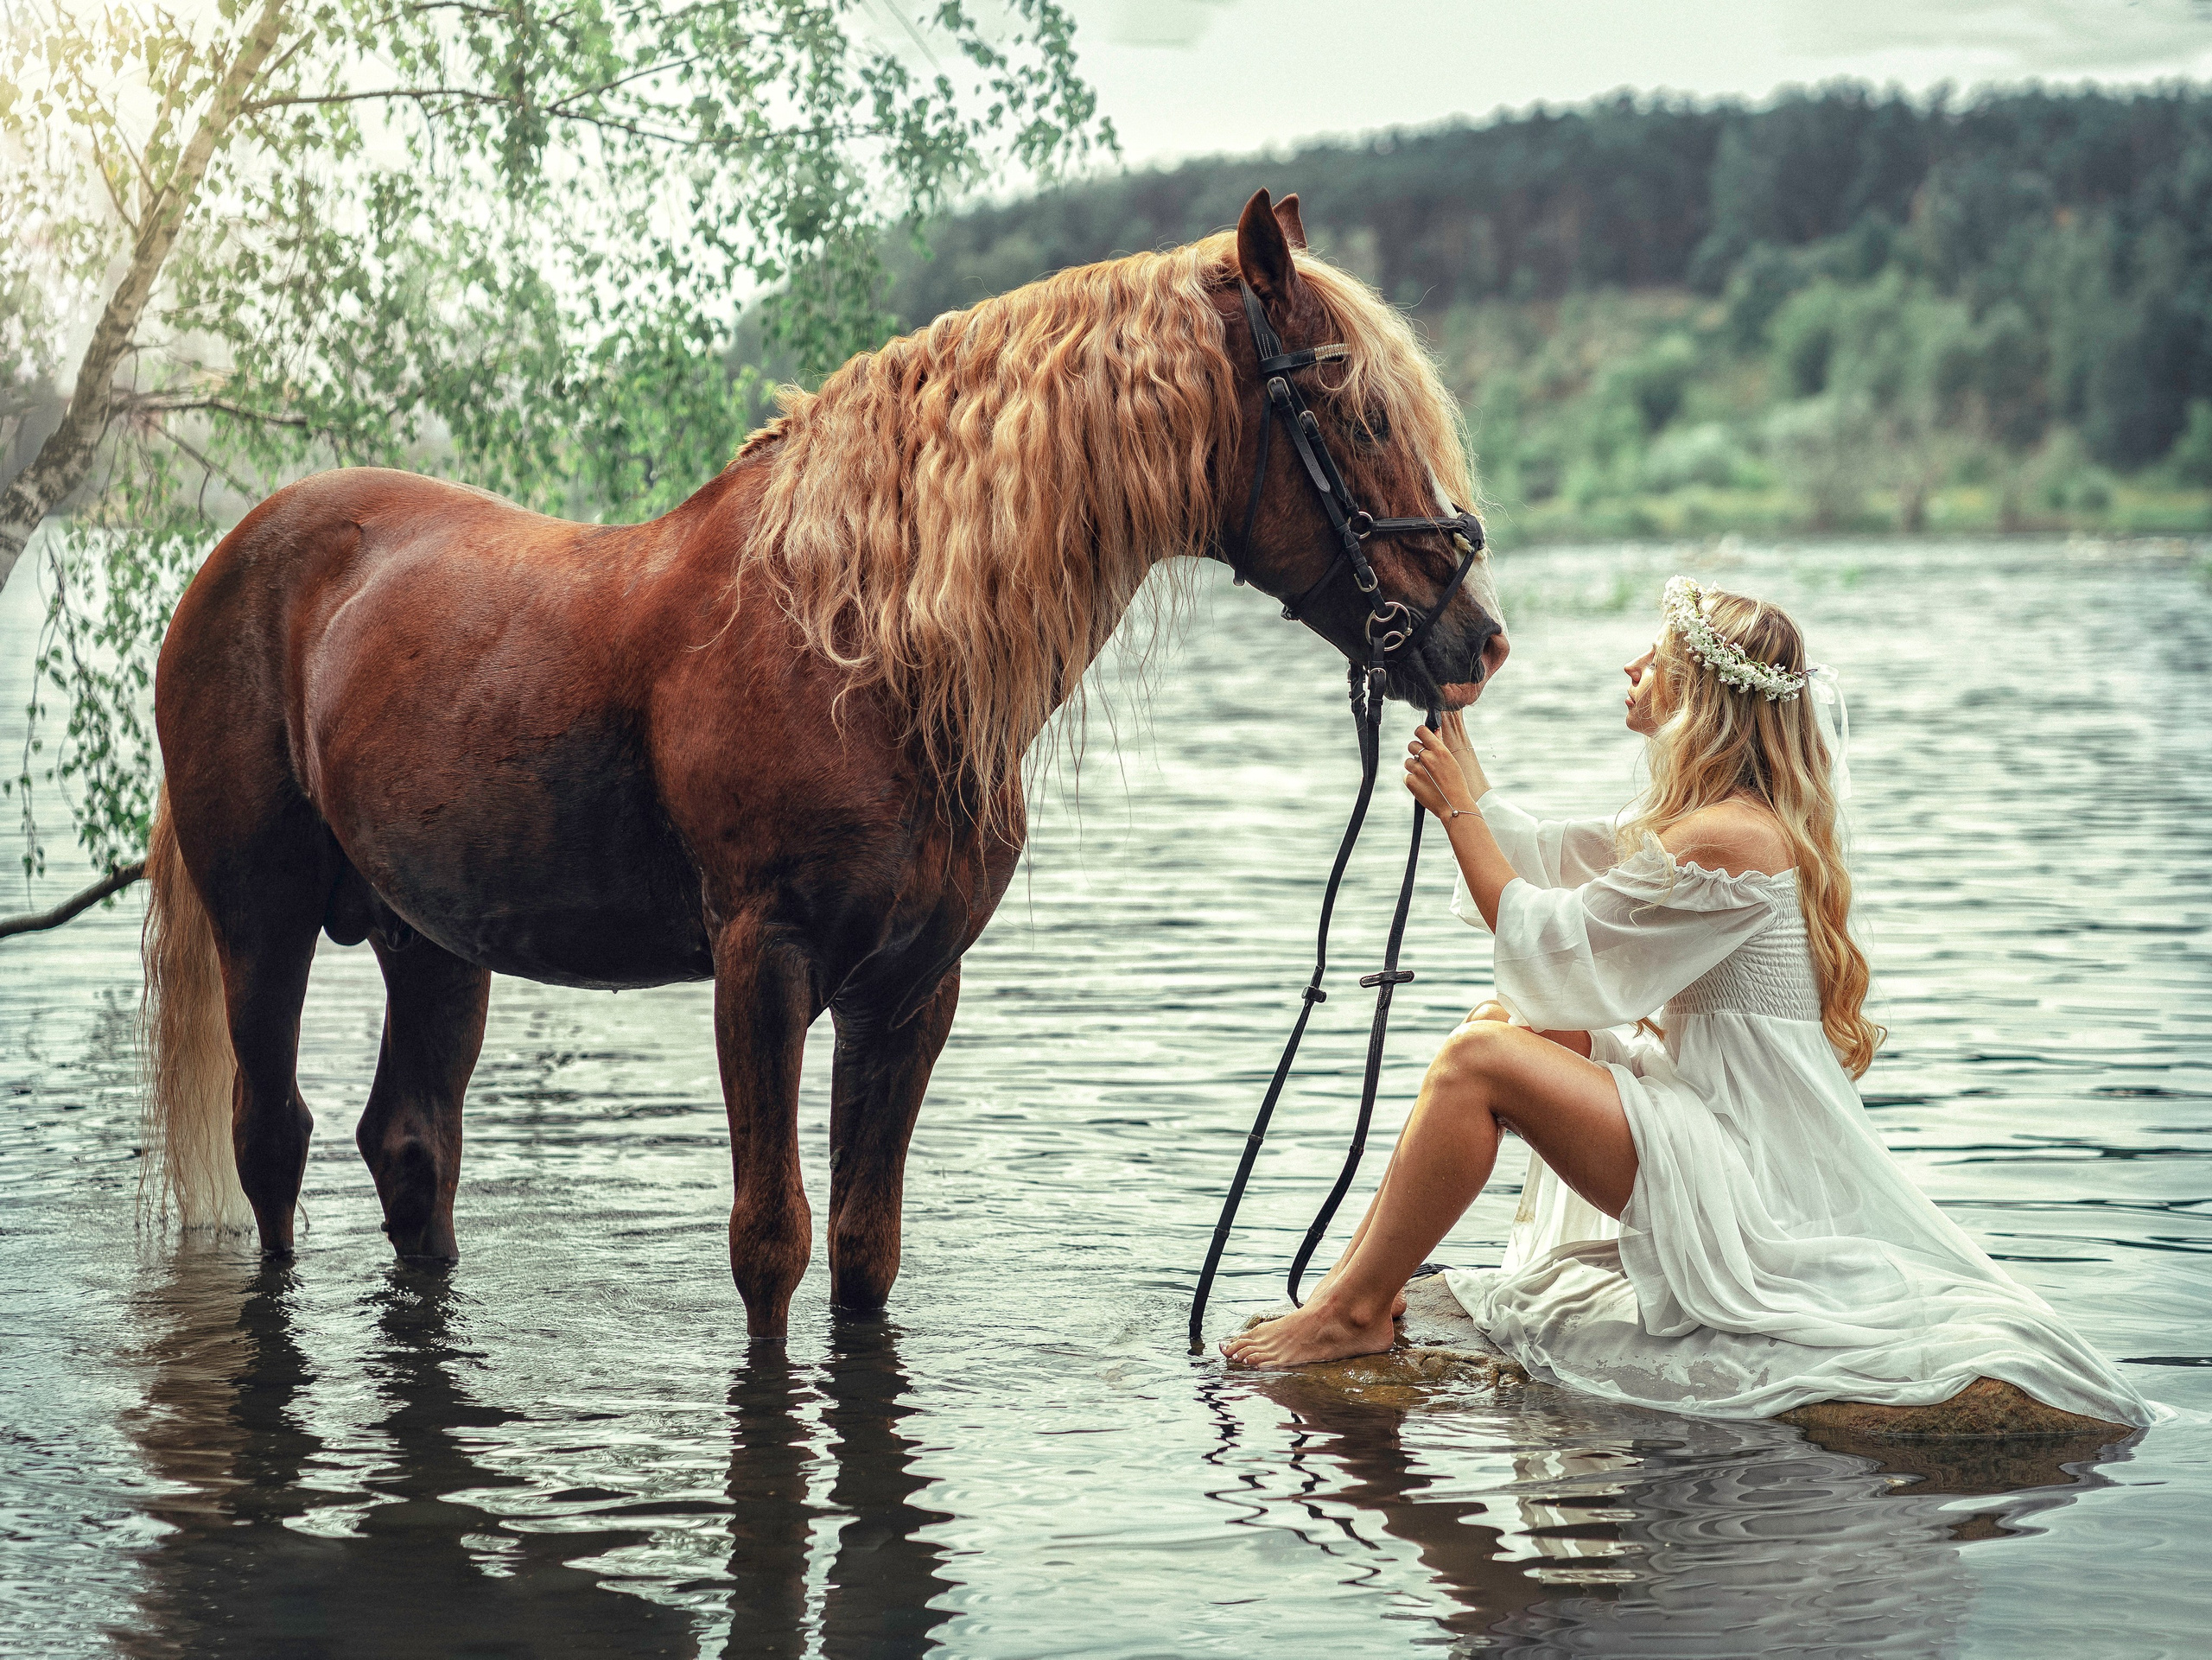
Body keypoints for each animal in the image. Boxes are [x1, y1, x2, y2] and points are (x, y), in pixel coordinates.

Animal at [138, 189, 1509, 1339]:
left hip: (435, 942)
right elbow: (770, 1242)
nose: (1475, 641)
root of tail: (238, 549)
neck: (862, 644)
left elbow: (862, 1246)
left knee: (412, 1149)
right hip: (263, 920)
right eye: (1358, 411)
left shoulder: (909, 988)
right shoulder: (764, 964)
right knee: (273, 1138)